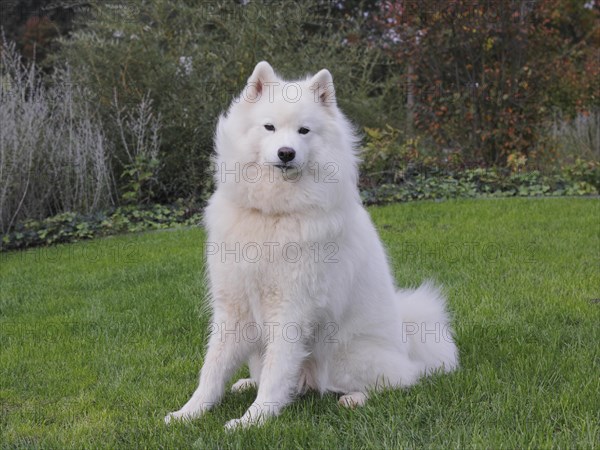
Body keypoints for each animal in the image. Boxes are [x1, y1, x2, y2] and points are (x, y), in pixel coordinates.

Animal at [162, 62, 458, 428]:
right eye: (270, 127)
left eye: (304, 131)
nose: (286, 153)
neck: (274, 213)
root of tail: (406, 343)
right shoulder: (233, 307)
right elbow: (213, 368)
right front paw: (189, 412)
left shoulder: (292, 309)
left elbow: (277, 371)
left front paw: (254, 420)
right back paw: (246, 382)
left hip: (344, 355)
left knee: (398, 382)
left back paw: (353, 399)